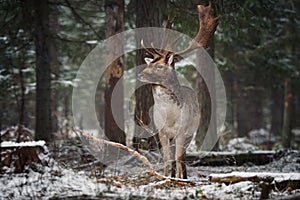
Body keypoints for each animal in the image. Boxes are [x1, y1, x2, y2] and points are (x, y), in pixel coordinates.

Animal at [137, 2, 219, 178]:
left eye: (160, 66)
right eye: (149, 64)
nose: (140, 75)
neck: (170, 116)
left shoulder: (182, 131)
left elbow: (179, 157)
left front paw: (183, 179)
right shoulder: (161, 132)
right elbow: (166, 158)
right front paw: (165, 177)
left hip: (190, 132)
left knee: (182, 156)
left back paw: (183, 176)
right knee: (175, 157)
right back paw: (174, 175)